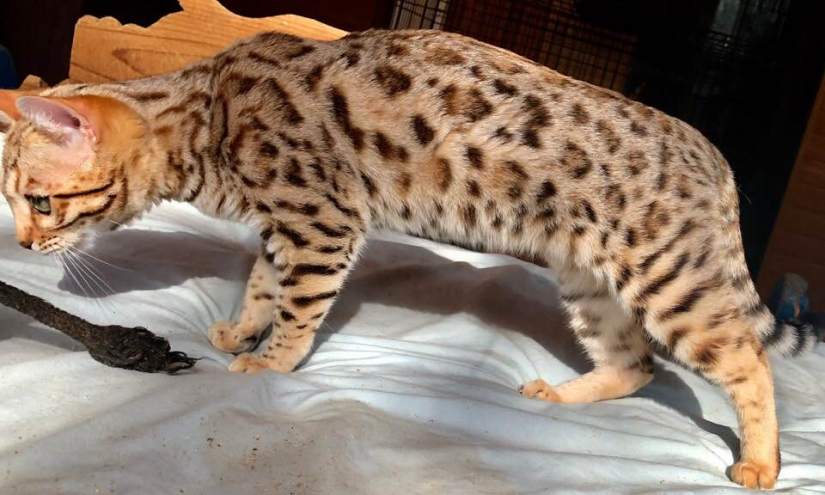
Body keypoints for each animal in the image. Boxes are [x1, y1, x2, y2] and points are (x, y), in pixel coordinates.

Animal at [0, 29, 817, 489]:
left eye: (39, 202)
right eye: (12, 203)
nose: (25, 245)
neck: (207, 118)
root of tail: (718, 161)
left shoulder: (322, 224)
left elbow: (297, 308)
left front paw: (268, 364)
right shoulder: (284, 227)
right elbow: (262, 285)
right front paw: (240, 329)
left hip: (666, 280)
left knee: (747, 360)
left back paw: (762, 463)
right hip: (590, 284)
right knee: (637, 364)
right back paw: (562, 395)